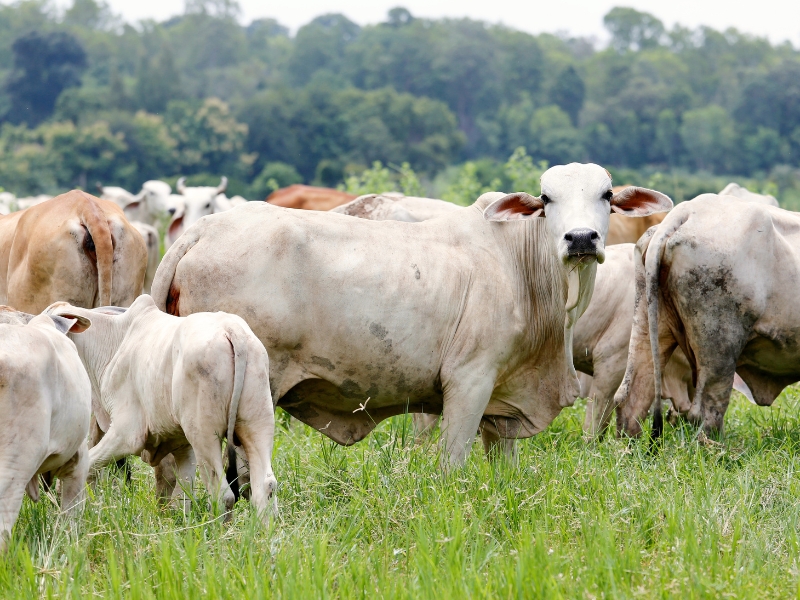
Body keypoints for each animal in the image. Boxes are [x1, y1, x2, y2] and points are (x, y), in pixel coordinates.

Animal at [47, 294, 278, 520]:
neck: (113, 342)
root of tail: (231, 330)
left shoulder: (127, 434)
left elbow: (87, 466)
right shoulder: (183, 446)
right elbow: (181, 498)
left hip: (203, 434)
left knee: (223, 494)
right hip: (257, 423)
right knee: (265, 486)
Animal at [153, 164, 672, 468]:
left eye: (606, 194)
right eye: (546, 199)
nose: (581, 238)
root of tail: (202, 230)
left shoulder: (503, 402)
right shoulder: (469, 383)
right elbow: (451, 464)